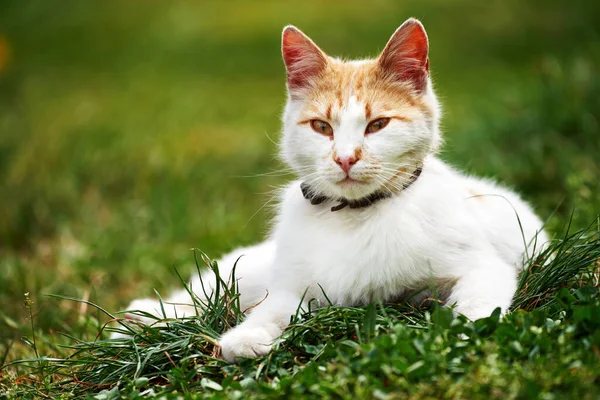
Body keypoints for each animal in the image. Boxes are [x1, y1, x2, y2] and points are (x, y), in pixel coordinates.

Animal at [120, 18, 548, 362]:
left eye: (377, 125)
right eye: (321, 127)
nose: (345, 158)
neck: (355, 216)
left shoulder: (484, 267)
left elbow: (477, 306)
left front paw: (460, 332)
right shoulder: (293, 287)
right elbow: (273, 309)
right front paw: (247, 336)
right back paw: (142, 318)